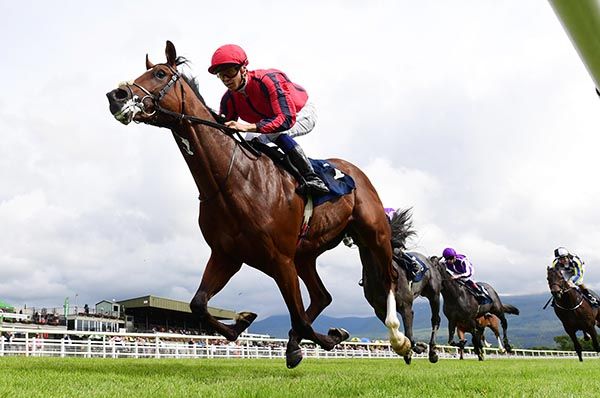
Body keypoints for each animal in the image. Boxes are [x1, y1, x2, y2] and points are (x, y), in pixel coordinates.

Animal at [105, 39, 410, 366]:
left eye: (160, 74)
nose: (116, 96)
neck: (234, 181)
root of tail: (356, 172)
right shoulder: (227, 255)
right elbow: (198, 304)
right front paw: (244, 322)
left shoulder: (280, 259)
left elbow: (300, 319)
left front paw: (326, 339)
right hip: (306, 254)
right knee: (322, 296)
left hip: (373, 235)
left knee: (388, 279)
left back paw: (400, 340)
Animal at [358, 208, 442, 364]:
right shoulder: (379, 310)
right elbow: (396, 329)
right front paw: (411, 348)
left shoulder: (406, 307)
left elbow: (408, 331)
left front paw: (413, 349)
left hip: (434, 294)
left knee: (435, 319)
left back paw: (433, 352)